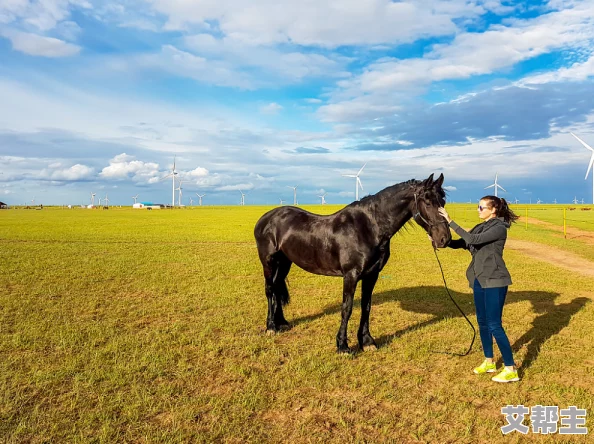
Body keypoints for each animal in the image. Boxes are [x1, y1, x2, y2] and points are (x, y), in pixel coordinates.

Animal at [252, 173, 450, 354]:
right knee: (270, 290)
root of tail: (266, 218)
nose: (444, 239)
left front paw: (367, 341)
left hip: (285, 262)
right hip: (269, 262)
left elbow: (366, 307)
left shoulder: (372, 275)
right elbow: (346, 308)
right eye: (427, 202)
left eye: (443, 201)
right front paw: (342, 346)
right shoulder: (351, 275)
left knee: (277, 287)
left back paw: (282, 323)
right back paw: (271, 327)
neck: (369, 228)